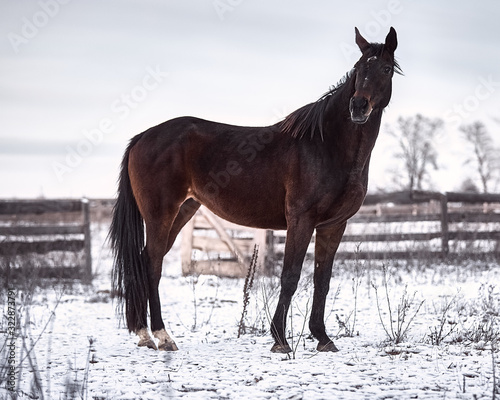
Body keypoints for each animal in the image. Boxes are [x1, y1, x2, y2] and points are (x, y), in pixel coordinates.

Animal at [109, 27, 398, 354]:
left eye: (386, 69)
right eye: (359, 68)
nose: (358, 107)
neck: (327, 146)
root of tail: (142, 137)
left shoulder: (333, 226)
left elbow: (322, 280)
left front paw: (323, 338)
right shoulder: (301, 220)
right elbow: (290, 276)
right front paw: (280, 339)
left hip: (182, 211)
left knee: (146, 261)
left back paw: (145, 334)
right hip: (160, 215)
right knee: (152, 266)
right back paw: (161, 335)